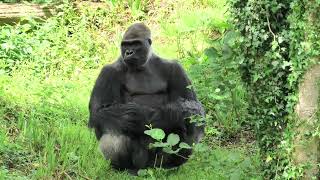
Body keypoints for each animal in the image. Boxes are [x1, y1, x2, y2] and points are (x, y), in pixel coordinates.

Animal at [88, 22, 205, 173]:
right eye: (125, 45)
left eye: (136, 44)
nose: (128, 52)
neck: (144, 65)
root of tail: (146, 168)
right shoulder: (108, 71)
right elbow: (99, 112)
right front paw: (138, 115)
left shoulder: (176, 68)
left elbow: (194, 106)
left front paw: (168, 114)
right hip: (139, 164)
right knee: (116, 125)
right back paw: (124, 168)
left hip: (155, 163)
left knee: (189, 121)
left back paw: (170, 166)